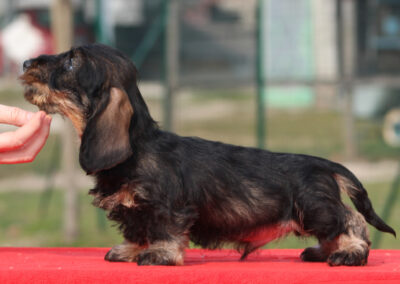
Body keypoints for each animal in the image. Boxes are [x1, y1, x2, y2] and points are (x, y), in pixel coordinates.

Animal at [20, 43, 396, 266]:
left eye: (72, 61)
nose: (25, 62)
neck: (137, 149)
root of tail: (324, 164)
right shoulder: (134, 211)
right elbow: (136, 230)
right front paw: (131, 250)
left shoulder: (166, 207)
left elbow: (164, 230)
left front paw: (160, 254)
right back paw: (322, 251)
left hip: (314, 208)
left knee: (351, 221)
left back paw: (349, 252)